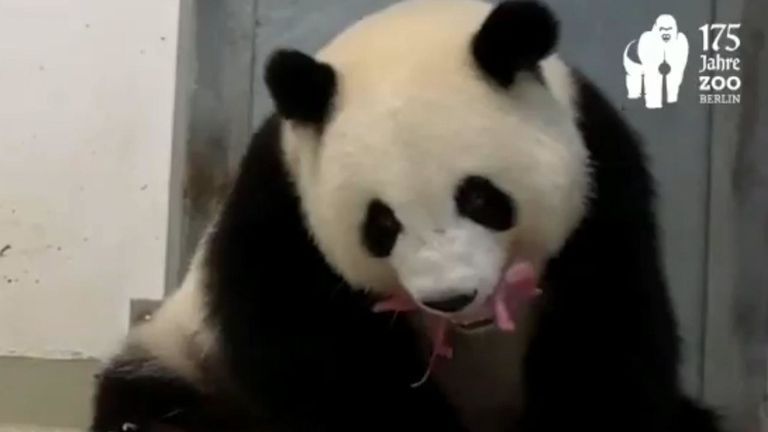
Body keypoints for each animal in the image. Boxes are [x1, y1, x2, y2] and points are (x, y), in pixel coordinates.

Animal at [88, 0, 720, 432]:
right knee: (153, 413)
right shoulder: (283, 211)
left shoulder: (603, 181)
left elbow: (608, 332)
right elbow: (322, 361)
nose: (451, 298)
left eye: (480, 198)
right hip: (185, 357)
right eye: (381, 225)